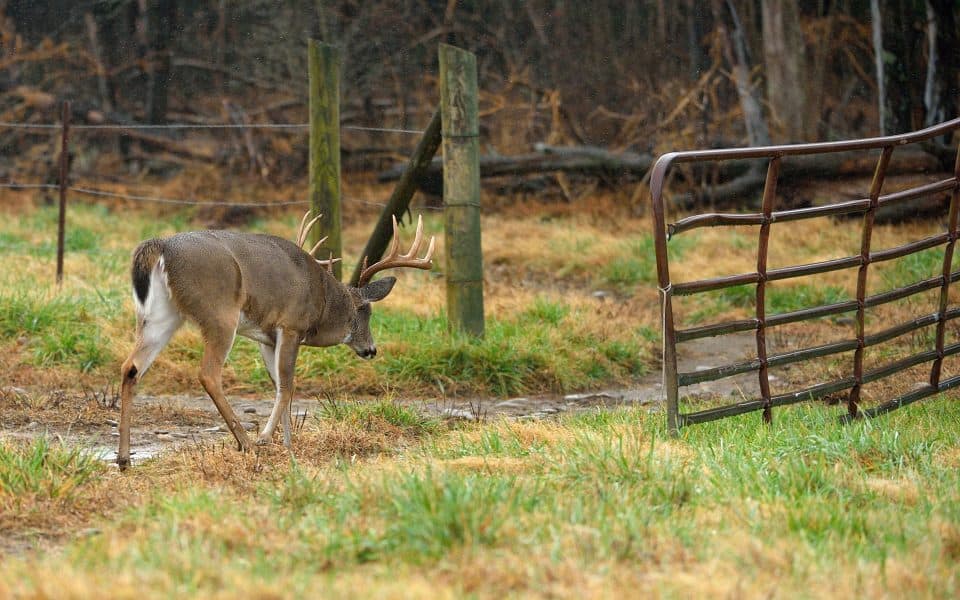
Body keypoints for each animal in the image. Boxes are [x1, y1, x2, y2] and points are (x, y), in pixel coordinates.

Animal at [117, 213, 436, 472]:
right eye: (365, 311)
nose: (371, 349)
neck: (322, 300)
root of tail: (162, 246)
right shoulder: (291, 324)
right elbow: (287, 385)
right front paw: (266, 438)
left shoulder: (266, 336)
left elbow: (279, 384)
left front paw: (288, 443)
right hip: (219, 313)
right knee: (208, 373)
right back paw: (245, 442)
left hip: (161, 314)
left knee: (131, 367)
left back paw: (123, 459)